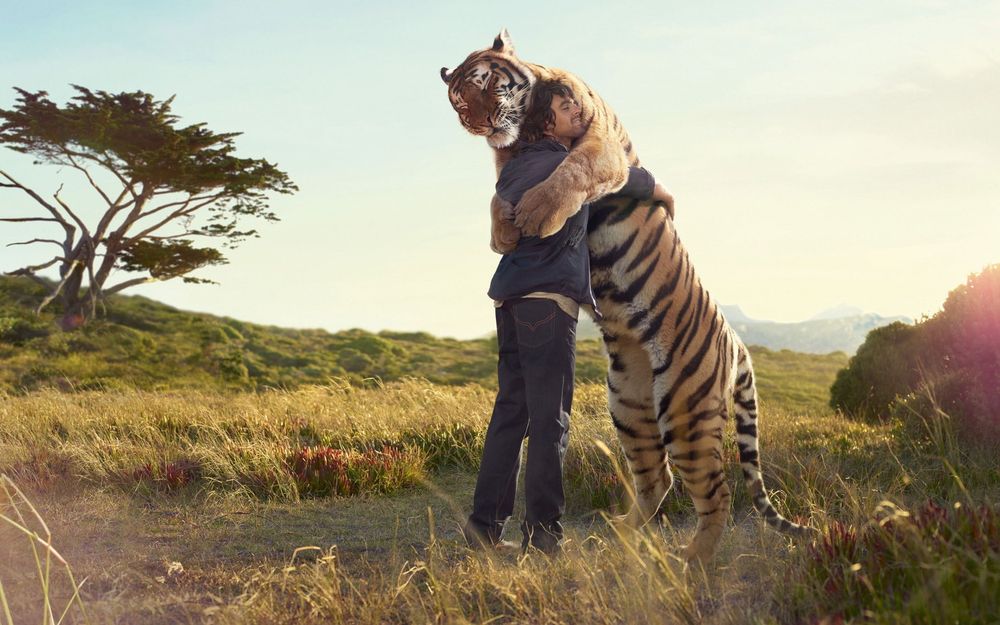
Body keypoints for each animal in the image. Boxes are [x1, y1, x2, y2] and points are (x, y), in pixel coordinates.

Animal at [441, 29, 816, 563]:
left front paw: (535, 214)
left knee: (716, 493)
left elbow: (572, 169)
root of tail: (737, 341)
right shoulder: (505, 162)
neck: (528, 129)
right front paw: (504, 232)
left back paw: (689, 561)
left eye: (486, 84)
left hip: (684, 411)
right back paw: (619, 535)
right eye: (457, 102)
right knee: (658, 479)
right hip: (630, 405)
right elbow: (498, 194)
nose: (479, 123)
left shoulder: (600, 146)